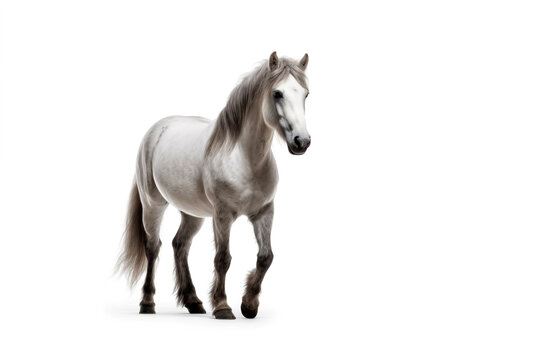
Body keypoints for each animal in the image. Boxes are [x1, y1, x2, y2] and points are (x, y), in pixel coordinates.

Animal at [118, 52, 312, 320]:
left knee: (180, 245)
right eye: (277, 93)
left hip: (192, 214)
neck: (244, 158)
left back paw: (194, 302)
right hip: (153, 205)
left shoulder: (264, 212)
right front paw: (222, 306)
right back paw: (147, 303)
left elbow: (266, 257)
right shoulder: (222, 215)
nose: (302, 142)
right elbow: (222, 259)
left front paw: (249, 305)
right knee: (153, 247)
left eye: (305, 94)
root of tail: (157, 130)